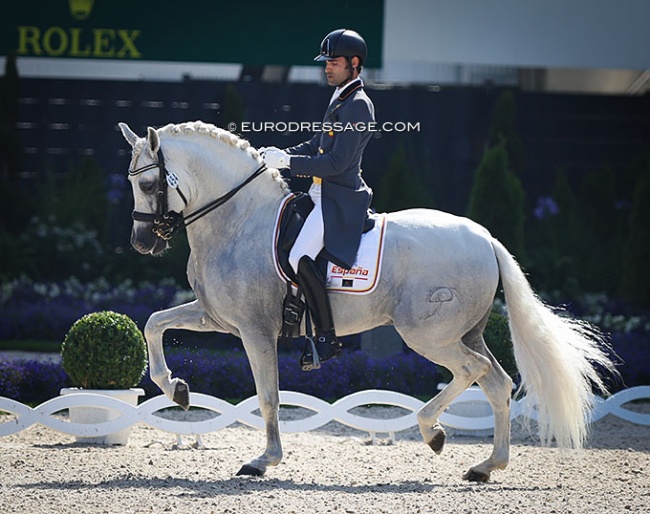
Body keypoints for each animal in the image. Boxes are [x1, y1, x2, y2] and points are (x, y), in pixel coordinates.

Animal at [120, 120, 612, 480]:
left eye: (148, 186)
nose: (142, 242)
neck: (239, 220)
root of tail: (486, 238)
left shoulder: (255, 330)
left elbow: (268, 397)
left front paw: (263, 461)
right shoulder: (217, 317)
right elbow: (154, 322)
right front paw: (176, 389)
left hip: (428, 335)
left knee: (473, 372)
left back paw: (433, 432)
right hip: (466, 332)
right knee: (497, 382)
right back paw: (486, 466)